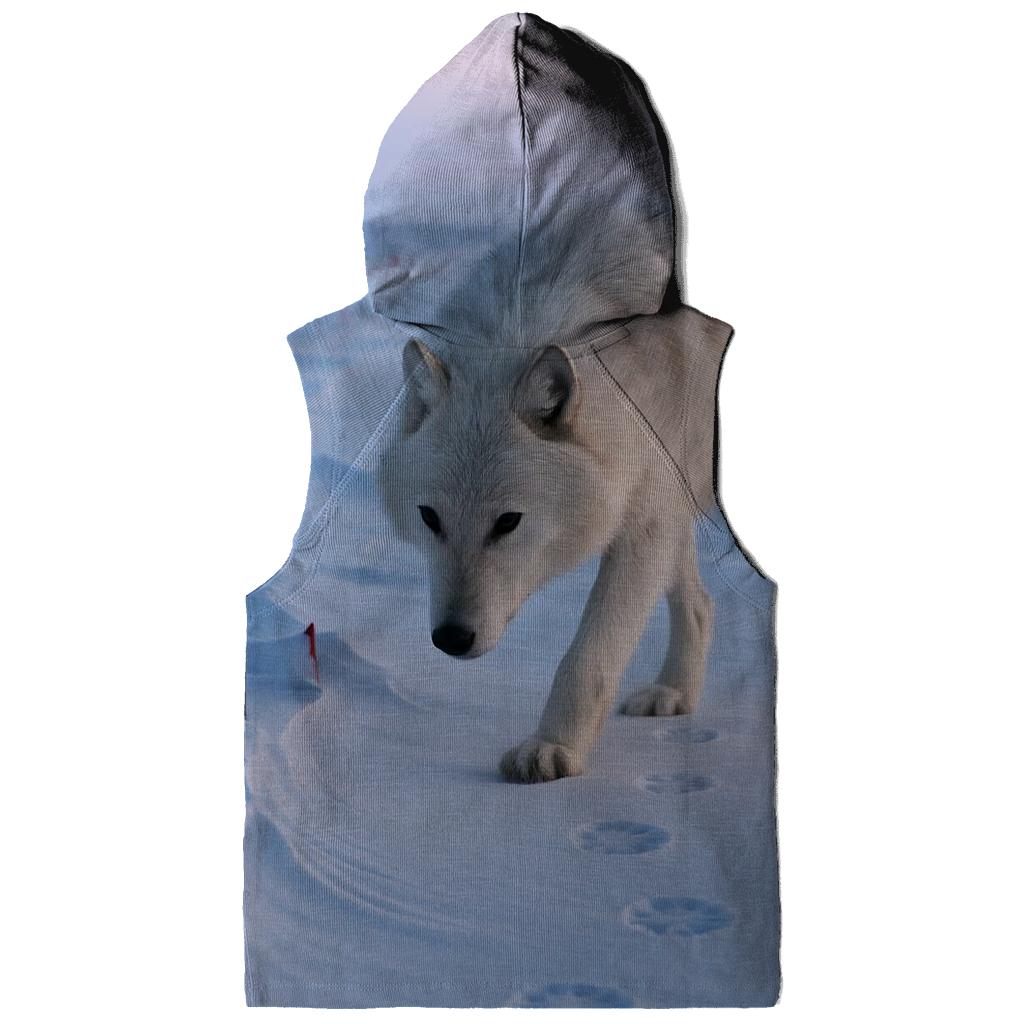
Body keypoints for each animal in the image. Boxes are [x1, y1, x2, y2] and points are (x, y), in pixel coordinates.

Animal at [379, 329, 713, 783]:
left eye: (507, 522)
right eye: (430, 517)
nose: (451, 638)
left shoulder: (647, 516)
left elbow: (587, 656)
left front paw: (553, 746)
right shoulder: (659, 503)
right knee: (700, 605)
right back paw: (673, 691)